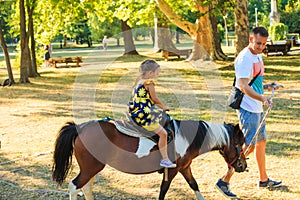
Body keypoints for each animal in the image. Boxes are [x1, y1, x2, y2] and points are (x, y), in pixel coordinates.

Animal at [52, 118, 248, 199]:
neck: (186, 139)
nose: (243, 166)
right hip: (90, 168)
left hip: (93, 168)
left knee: (85, 187)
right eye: (241, 144)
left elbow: (194, 186)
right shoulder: (173, 170)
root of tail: (80, 128)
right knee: (74, 186)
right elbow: (163, 190)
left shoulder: (185, 167)